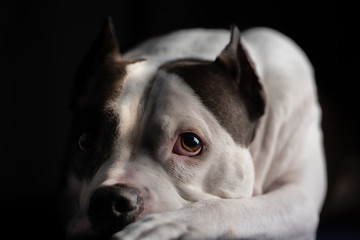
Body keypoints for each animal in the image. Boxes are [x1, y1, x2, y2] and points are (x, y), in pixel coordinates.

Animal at [63, 17, 328, 239]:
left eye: (190, 143)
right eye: (86, 140)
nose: (111, 200)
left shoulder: (297, 199)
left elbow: (233, 208)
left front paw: (168, 226)